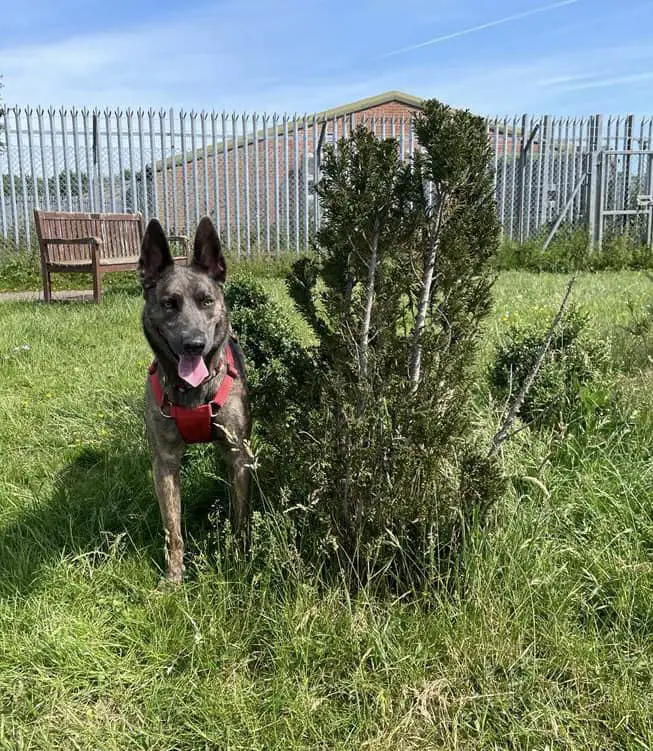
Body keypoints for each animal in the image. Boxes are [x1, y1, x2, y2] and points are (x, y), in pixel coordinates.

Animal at [138, 214, 250, 584]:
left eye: (206, 300)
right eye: (169, 303)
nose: (194, 344)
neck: (192, 391)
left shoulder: (237, 454)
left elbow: (240, 516)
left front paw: (239, 561)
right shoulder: (165, 462)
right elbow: (172, 527)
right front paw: (174, 575)